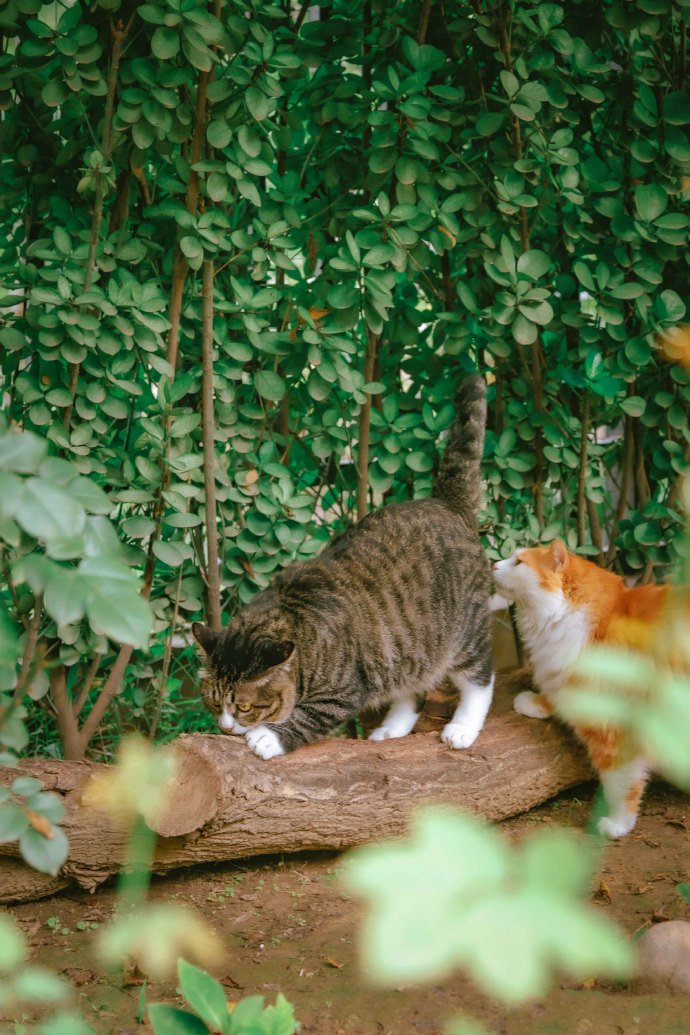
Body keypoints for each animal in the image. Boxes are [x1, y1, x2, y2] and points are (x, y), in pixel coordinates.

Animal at [194, 378, 494, 761]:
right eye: (213, 702)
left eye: (244, 707)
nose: (226, 726)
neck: (301, 634)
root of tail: (445, 501)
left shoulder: (346, 690)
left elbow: (310, 716)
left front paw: (267, 737)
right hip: (406, 647)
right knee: (412, 688)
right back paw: (391, 730)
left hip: (466, 633)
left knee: (480, 679)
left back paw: (463, 727)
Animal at [494, 542, 678, 840]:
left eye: (518, 562)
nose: (492, 565)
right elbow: (555, 692)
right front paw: (533, 703)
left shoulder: (614, 731)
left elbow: (620, 786)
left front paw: (617, 824)